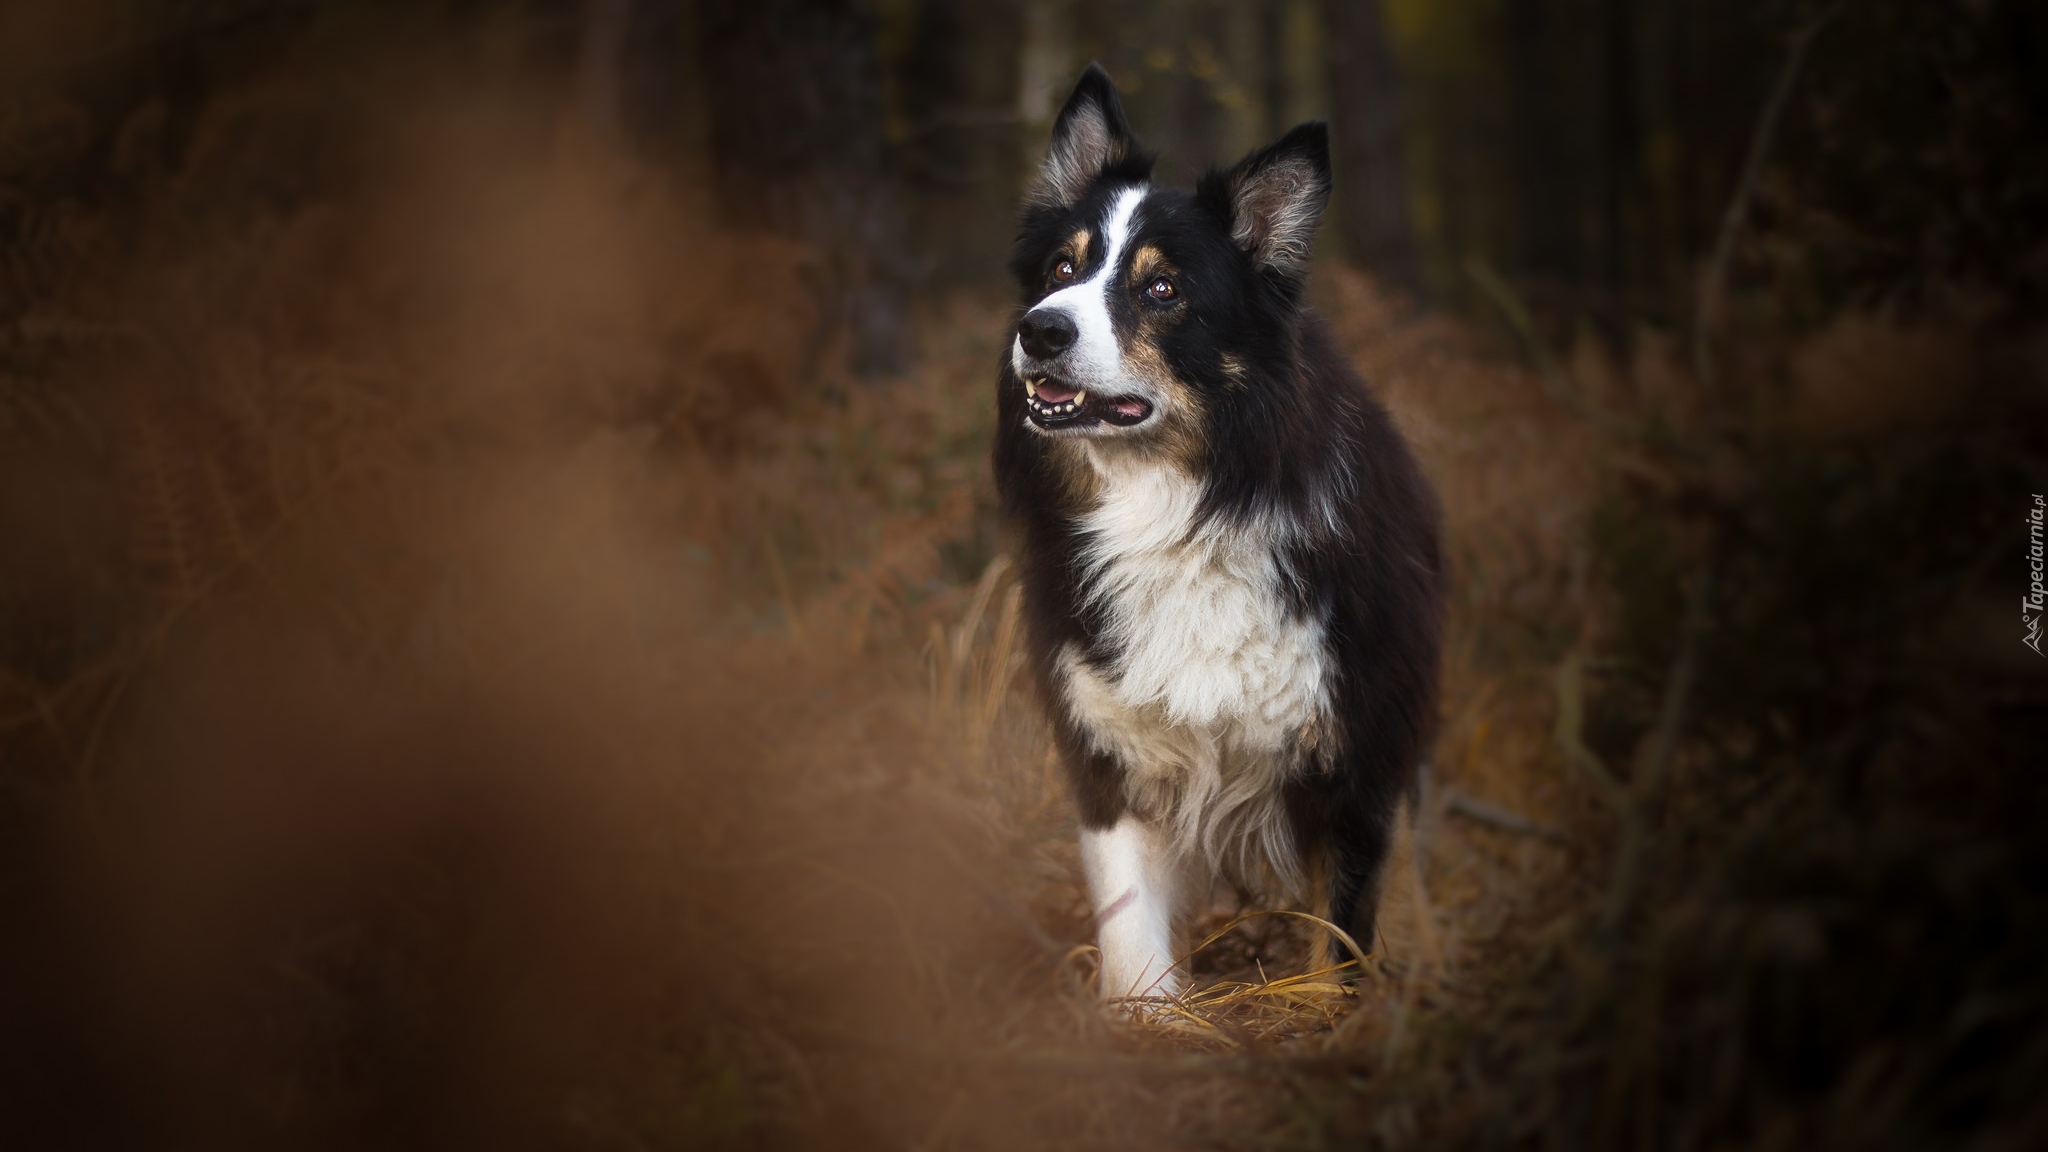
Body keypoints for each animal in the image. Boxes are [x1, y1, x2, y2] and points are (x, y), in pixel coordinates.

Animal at [991, 65, 1441, 996]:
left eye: (1162, 289)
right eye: (1061, 268)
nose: (1040, 328)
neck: (1178, 506)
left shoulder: (1357, 759)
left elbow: (1337, 940)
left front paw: (1325, 1016)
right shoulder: (1109, 742)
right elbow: (1131, 920)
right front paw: (1150, 1016)